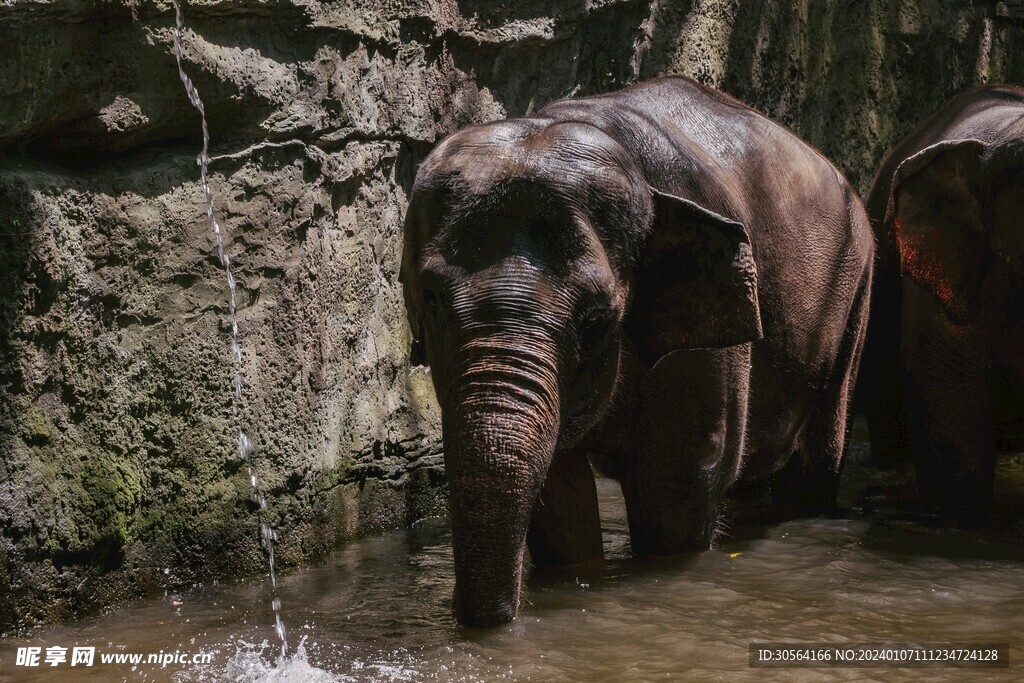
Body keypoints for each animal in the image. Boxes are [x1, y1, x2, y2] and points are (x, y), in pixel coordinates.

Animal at [400, 76, 874, 627]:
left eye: (596, 320)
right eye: (430, 301)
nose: (457, 608)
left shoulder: (706, 355)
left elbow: (675, 482)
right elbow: (559, 497)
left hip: (855, 288)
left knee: (819, 452)